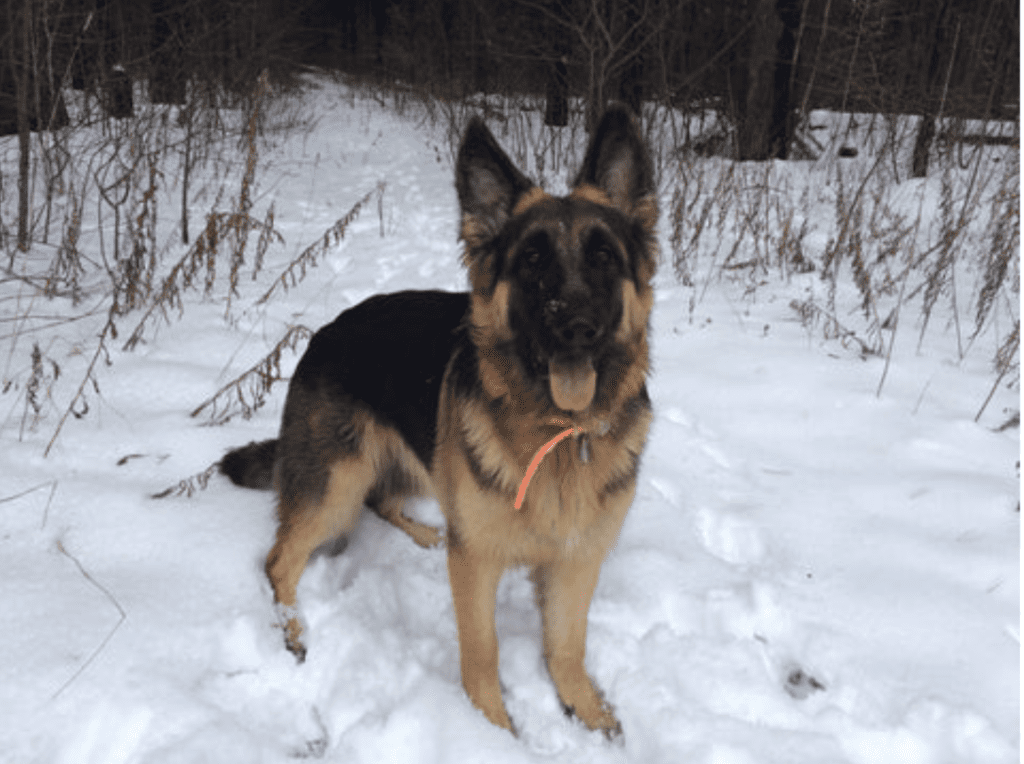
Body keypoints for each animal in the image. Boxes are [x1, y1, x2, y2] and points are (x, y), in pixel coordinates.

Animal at [220, 103, 659, 733]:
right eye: (532, 261)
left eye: (603, 258)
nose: (576, 327)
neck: (558, 432)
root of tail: (323, 332)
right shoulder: (476, 566)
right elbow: (482, 651)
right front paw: (494, 731)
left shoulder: (577, 562)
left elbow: (566, 648)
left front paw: (589, 712)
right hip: (336, 485)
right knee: (280, 561)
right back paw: (294, 633)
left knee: (384, 501)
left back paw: (428, 533)